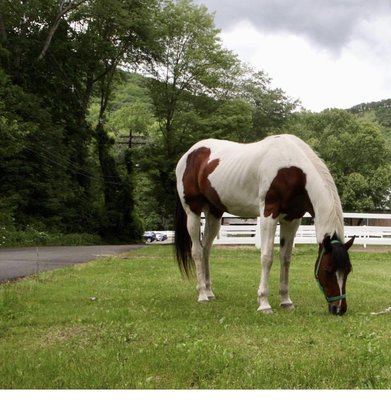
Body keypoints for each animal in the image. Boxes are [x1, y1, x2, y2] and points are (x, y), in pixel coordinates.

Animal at [175, 134, 356, 316]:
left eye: (348, 270)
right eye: (328, 270)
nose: (339, 309)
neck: (293, 170)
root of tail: (189, 154)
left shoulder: (291, 220)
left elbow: (286, 258)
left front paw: (286, 301)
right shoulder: (268, 215)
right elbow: (267, 257)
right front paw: (264, 303)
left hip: (214, 213)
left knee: (206, 250)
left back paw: (209, 292)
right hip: (193, 211)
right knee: (197, 251)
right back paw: (202, 295)